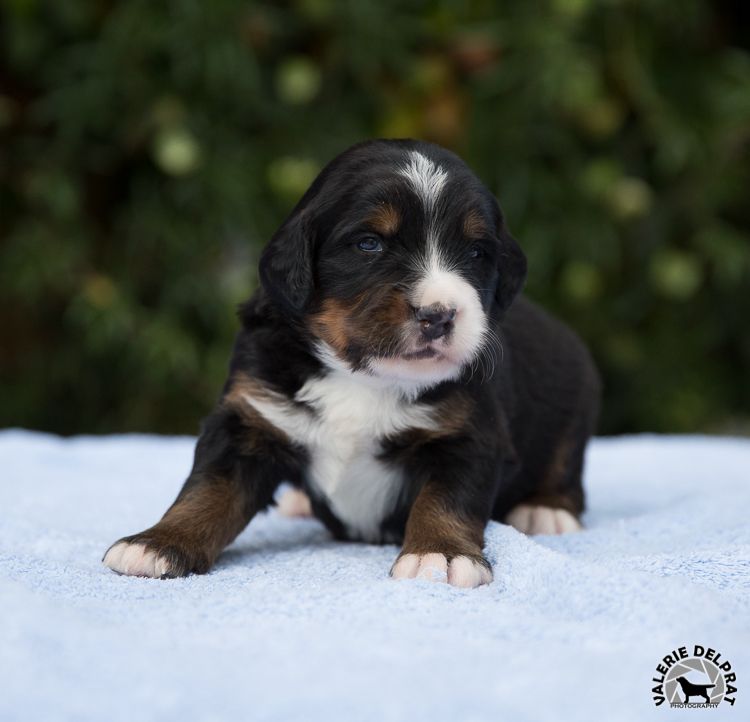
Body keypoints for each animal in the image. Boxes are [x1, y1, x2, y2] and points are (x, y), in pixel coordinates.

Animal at [103, 139, 604, 584]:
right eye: (369, 244)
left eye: (477, 252)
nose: (439, 314)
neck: (364, 378)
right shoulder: (250, 417)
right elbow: (208, 489)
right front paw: (156, 543)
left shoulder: (468, 434)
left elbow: (446, 499)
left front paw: (438, 555)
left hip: (575, 403)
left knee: (566, 468)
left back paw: (546, 511)